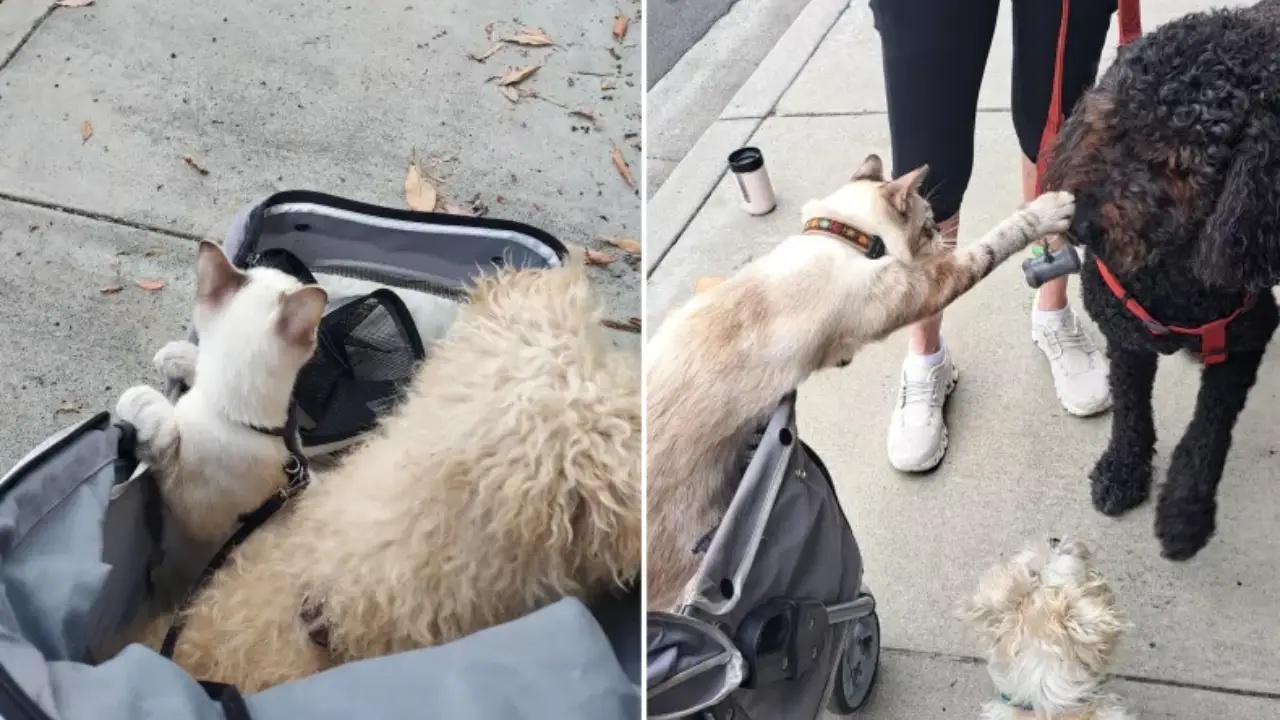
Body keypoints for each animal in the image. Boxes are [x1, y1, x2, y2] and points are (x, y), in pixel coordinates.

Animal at [645, 154, 1075, 607]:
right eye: (928, 224)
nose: (942, 238)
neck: (842, 235)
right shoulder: (926, 285)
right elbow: (995, 242)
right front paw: (1050, 209)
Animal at [1039, 0, 1280, 561]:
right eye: (1108, 123)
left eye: (1178, 163)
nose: (1082, 225)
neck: (1171, 278)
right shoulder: (1126, 336)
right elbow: (1130, 411)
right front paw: (1123, 473)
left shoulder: (1243, 341)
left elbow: (1207, 434)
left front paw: (1184, 514)